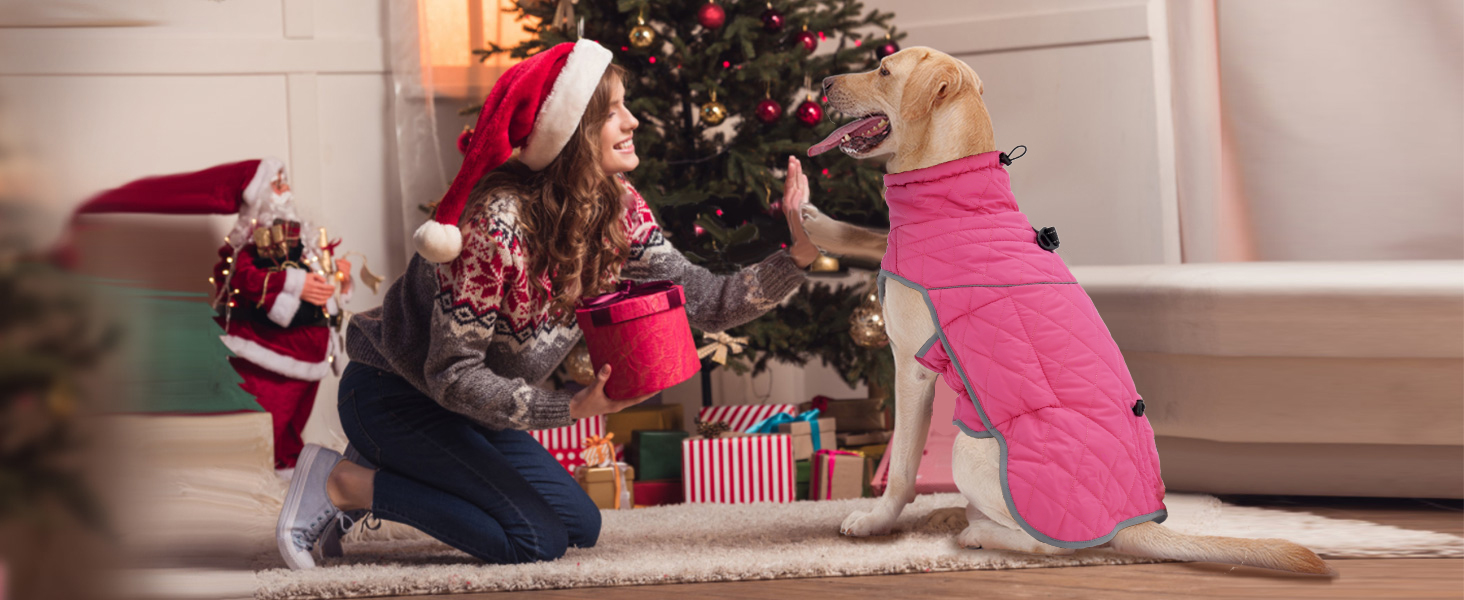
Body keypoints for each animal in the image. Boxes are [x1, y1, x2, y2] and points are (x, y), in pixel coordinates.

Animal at [808, 47, 1335, 576]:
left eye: (883, 70)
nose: (824, 82)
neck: (958, 197)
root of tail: (1131, 523)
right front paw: (813, 223)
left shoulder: (910, 365)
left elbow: (902, 467)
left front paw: (875, 521)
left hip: (969, 445)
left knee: (1052, 545)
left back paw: (975, 531)